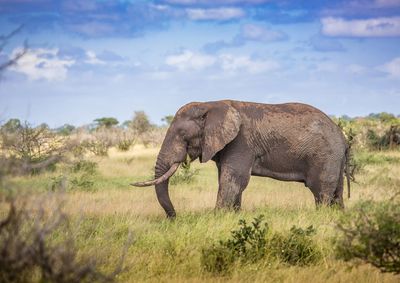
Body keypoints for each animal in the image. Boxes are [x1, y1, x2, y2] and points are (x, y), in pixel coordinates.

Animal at [132, 101, 350, 219]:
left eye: (182, 135)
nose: (174, 218)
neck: (210, 104)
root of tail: (342, 137)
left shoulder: (241, 141)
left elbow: (233, 179)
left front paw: (217, 218)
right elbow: (230, 180)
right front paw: (232, 217)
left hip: (325, 156)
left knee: (320, 191)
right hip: (334, 159)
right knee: (336, 193)